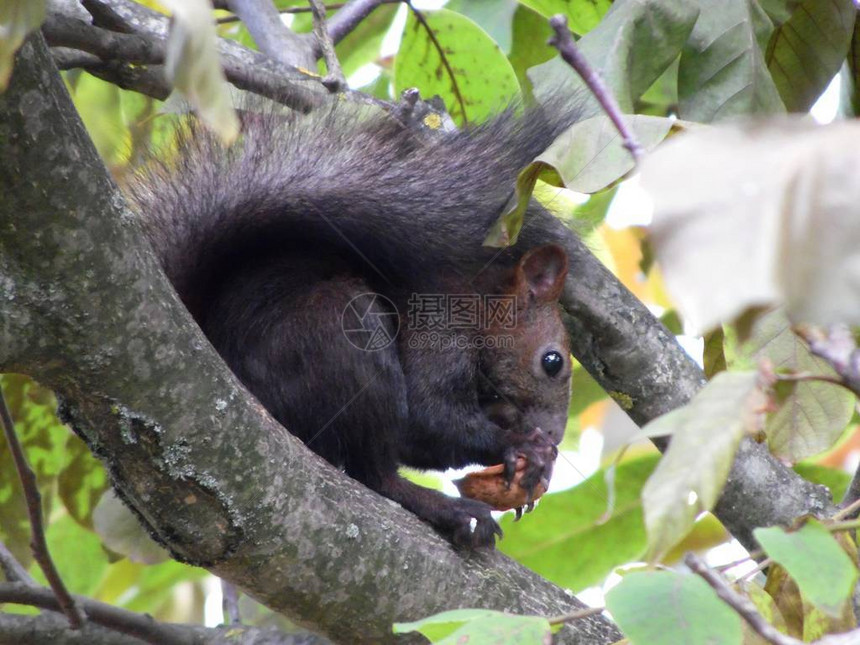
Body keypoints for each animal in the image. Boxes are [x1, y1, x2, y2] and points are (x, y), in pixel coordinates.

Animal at [133, 103, 576, 544]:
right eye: (552, 361)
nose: (554, 436)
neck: (479, 302)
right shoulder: (438, 330)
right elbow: (427, 420)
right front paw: (522, 445)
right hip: (343, 338)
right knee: (375, 474)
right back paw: (447, 507)